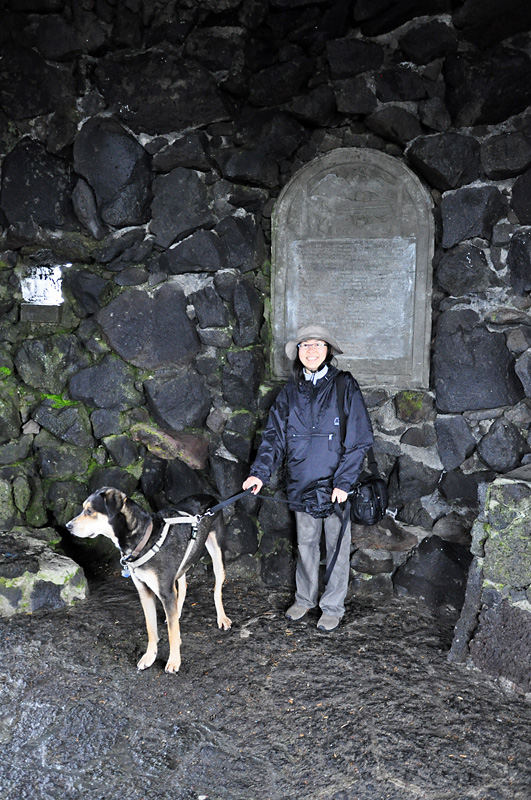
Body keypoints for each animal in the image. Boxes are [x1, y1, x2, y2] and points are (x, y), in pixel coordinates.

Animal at [66, 488, 231, 676]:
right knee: (182, 586)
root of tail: (209, 496)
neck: (143, 539)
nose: (68, 526)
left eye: (90, 510)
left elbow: (172, 633)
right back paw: (177, 613)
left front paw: (174, 660)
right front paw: (150, 656)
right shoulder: (144, 591)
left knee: (217, 588)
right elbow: (151, 628)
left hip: (217, 555)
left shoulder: (165, 592)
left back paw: (222, 618)